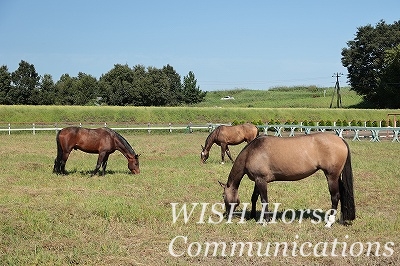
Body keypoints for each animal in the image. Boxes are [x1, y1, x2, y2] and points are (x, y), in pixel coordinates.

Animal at [219, 133, 356, 227]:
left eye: (223, 196)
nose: (227, 215)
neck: (251, 152)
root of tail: (340, 139)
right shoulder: (258, 180)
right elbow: (254, 197)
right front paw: (254, 216)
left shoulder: (261, 180)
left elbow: (264, 200)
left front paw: (266, 221)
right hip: (337, 177)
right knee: (342, 195)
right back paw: (341, 219)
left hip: (331, 176)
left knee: (335, 197)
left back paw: (329, 223)